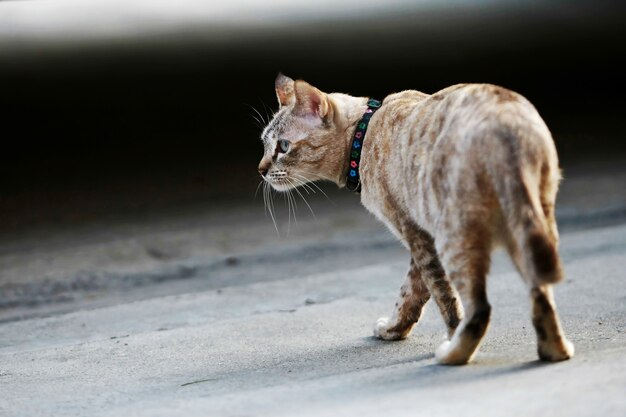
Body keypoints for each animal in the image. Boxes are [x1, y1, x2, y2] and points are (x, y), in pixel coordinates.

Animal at [256, 73, 572, 362]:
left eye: (283, 147)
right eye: (263, 144)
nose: (261, 170)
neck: (364, 132)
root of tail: (505, 124)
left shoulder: (414, 231)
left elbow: (441, 297)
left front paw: (441, 334)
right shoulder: (420, 234)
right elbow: (411, 292)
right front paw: (394, 330)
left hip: (454, 234)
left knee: (479, 309)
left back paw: (453, 353)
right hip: (533, 221)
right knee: (541, 290)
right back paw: (555, 351)